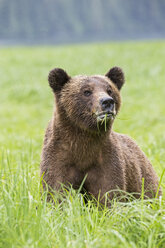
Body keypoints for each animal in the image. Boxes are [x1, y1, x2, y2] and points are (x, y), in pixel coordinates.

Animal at [40, 67, 162, 204]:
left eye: (109, 90)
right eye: (86, 91)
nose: (107, 101)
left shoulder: (105, 158)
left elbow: (108, 192)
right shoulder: (59, 154)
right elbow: (55, 188)